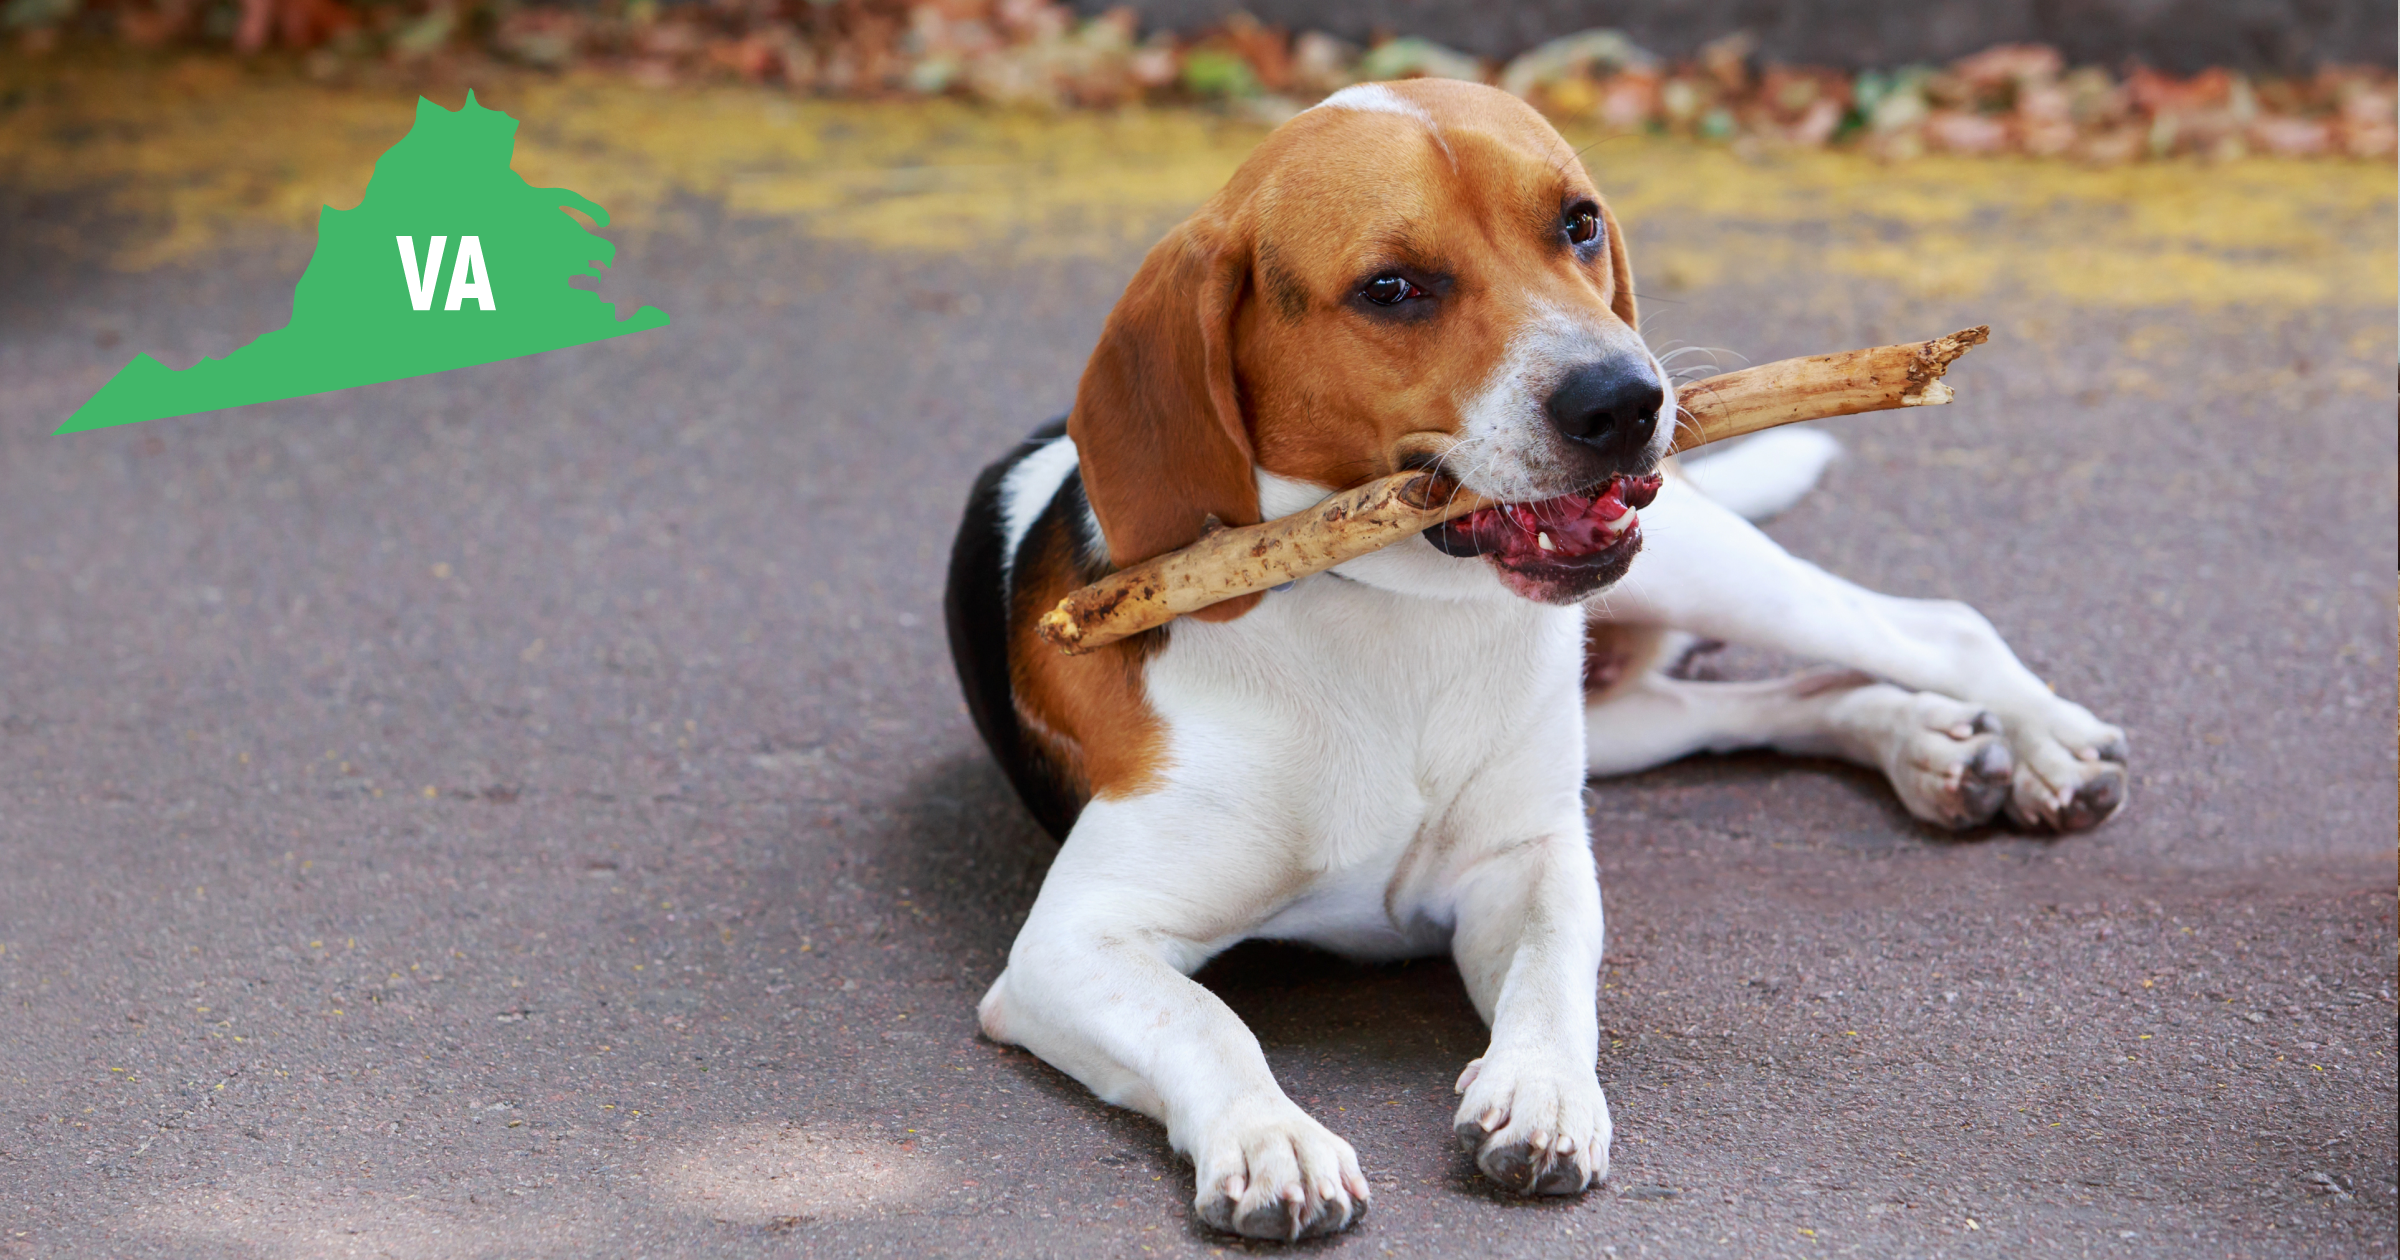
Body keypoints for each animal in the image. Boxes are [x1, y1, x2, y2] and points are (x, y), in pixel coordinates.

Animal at [945, 81, 2131, 1248]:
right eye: (1390, 288)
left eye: (1579, 223)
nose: (1626, 400)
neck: (1395, 622)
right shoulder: (1067, 947)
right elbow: (1204, 1018)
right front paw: (1269, 1135)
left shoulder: (1526, 858)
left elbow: (1554, 975)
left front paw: (1545, 1092)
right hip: (1625, 720)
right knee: (1769, 700)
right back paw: (1929, 744)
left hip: (1696, 572)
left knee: (1934, 626)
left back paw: (2048, 744)